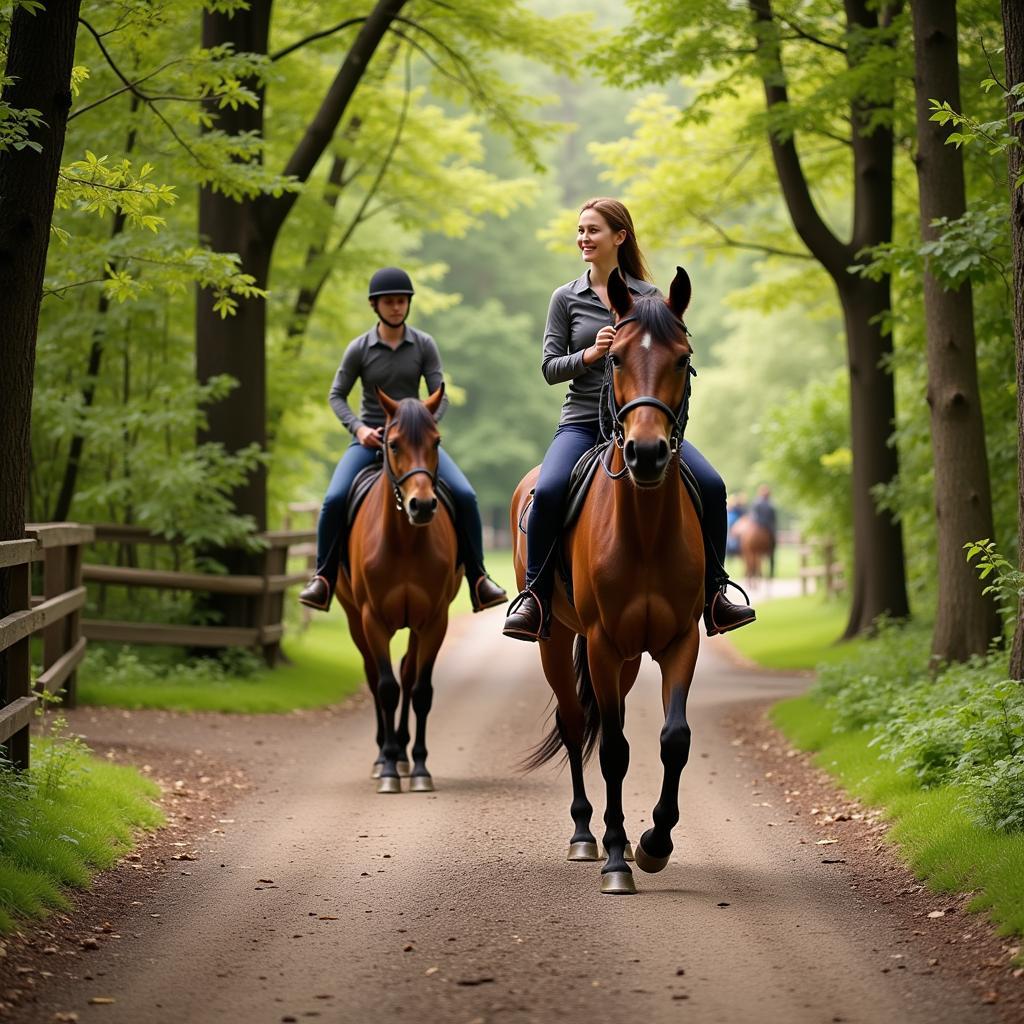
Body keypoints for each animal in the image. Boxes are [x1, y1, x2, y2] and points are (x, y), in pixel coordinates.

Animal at [333, 387, 462, 794]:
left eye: (437, 441)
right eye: (392, 443)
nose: (422, 505)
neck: (405, 541)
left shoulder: (434, 620)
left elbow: (420, 690)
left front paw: (418, 767)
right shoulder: (372, 619)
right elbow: (387, 688)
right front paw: (388, 769)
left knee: (407, 672)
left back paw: (404, 754)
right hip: (354, 620)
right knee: (376, 679)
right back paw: (383, 757)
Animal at [512, 266, 704, 897]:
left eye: (682, 359)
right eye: (614, 357)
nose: (645, 454)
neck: (642, 529)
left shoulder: (679, 642)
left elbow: (674, 739)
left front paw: (654, 843)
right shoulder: (599, 641)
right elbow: (615, 750)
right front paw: (619, 859)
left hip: (626, 658)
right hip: (556, 641)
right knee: (575, 726)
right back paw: (583, 835)